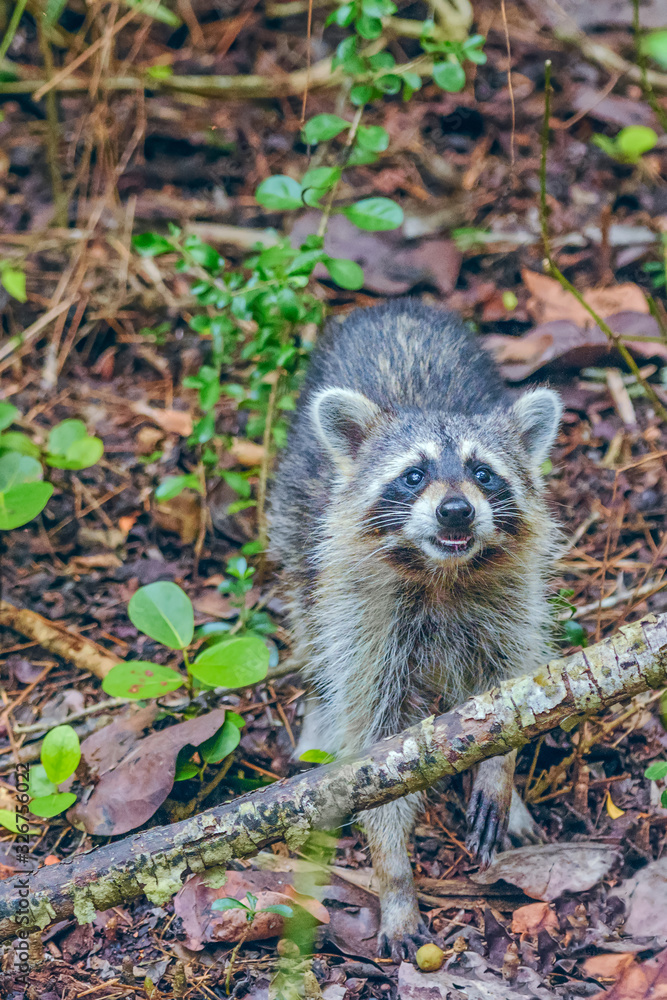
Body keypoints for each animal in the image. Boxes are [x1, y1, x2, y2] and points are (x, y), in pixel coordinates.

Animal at [268, 299, 561, 960]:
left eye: (484, 473)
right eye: (413, 475)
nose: (456, 510)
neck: (442, 574)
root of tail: (395, 305)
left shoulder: (510, 602)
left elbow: (514, 690)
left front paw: (500, 775)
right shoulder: (367, 624)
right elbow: (375, 756)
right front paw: (394, 877)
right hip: (296, 517)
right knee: (310, 619)